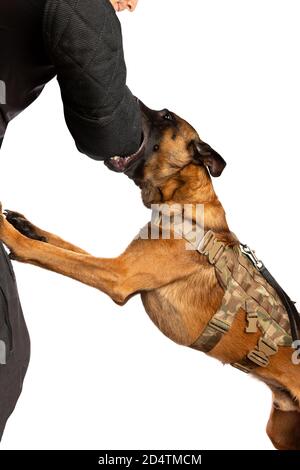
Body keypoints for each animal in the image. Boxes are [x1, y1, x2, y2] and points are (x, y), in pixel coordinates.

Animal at [0, 104, 300, 450]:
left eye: (166, 116)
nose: (129, 103)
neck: (183, 201)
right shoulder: (122, 264)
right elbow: (61, 245)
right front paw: (24, 225)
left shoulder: (119, 274)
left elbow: (52, 254)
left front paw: (7, 232)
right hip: (281, 428)